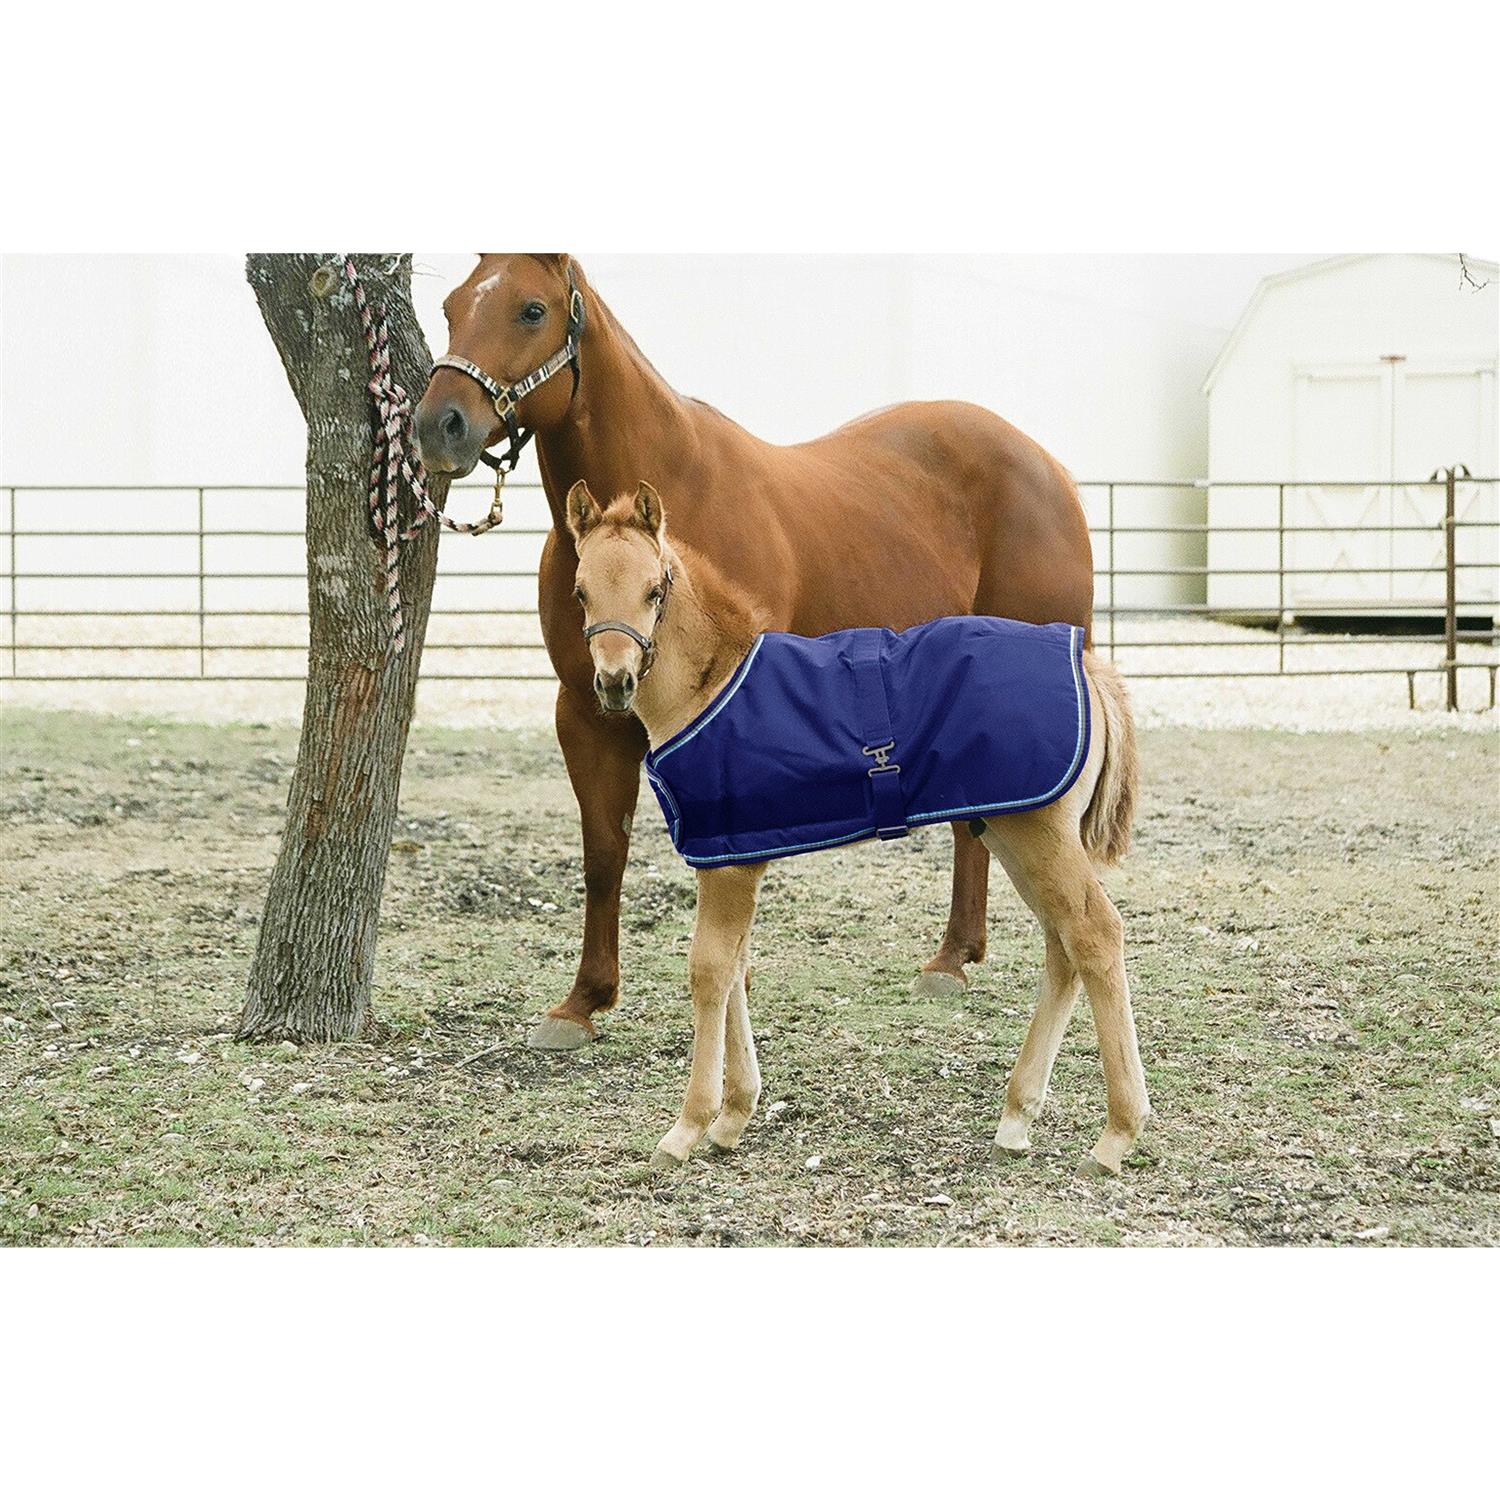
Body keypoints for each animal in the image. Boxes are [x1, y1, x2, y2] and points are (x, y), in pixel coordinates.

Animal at [414, 255, 1095, 1052]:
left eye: (531, 309)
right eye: (451, 305)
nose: (438, 424)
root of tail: (1049, 469)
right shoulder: (586, 712)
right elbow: (604, 852)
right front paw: (583, 1001)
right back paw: (954, 955)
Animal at [567, 480, 1150, 1177]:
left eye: (655, 590)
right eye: (580, 590)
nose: (615, 682)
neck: (711, 684)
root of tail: (1089, 665)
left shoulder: (728, 863)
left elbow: (709, 970)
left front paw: (688, 1127)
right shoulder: (733, 854)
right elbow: (736, 967)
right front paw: (734, 1116)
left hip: (1040, 834)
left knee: (1094, 933)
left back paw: (1116, 1135)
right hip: (1013, 832)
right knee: (1063, 943)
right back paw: (1016, 1119)